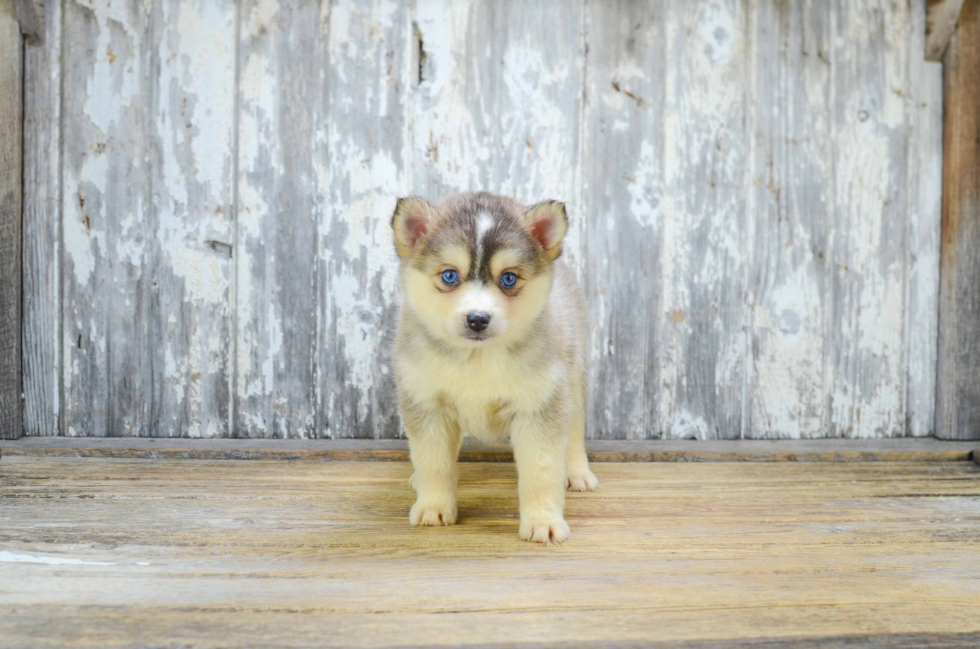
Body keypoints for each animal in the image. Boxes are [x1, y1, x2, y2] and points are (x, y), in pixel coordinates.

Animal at [390, 191, 596, 540]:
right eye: (449, 275)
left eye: (509, 278)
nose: (477, 319)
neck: (478, 356)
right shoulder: (427, 403)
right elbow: (434, 462)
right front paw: (433, 505)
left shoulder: (539, 407)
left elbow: (541, 471)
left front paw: (543, 521)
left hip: (573, 380)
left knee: (574, 430)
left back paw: (577, 473)